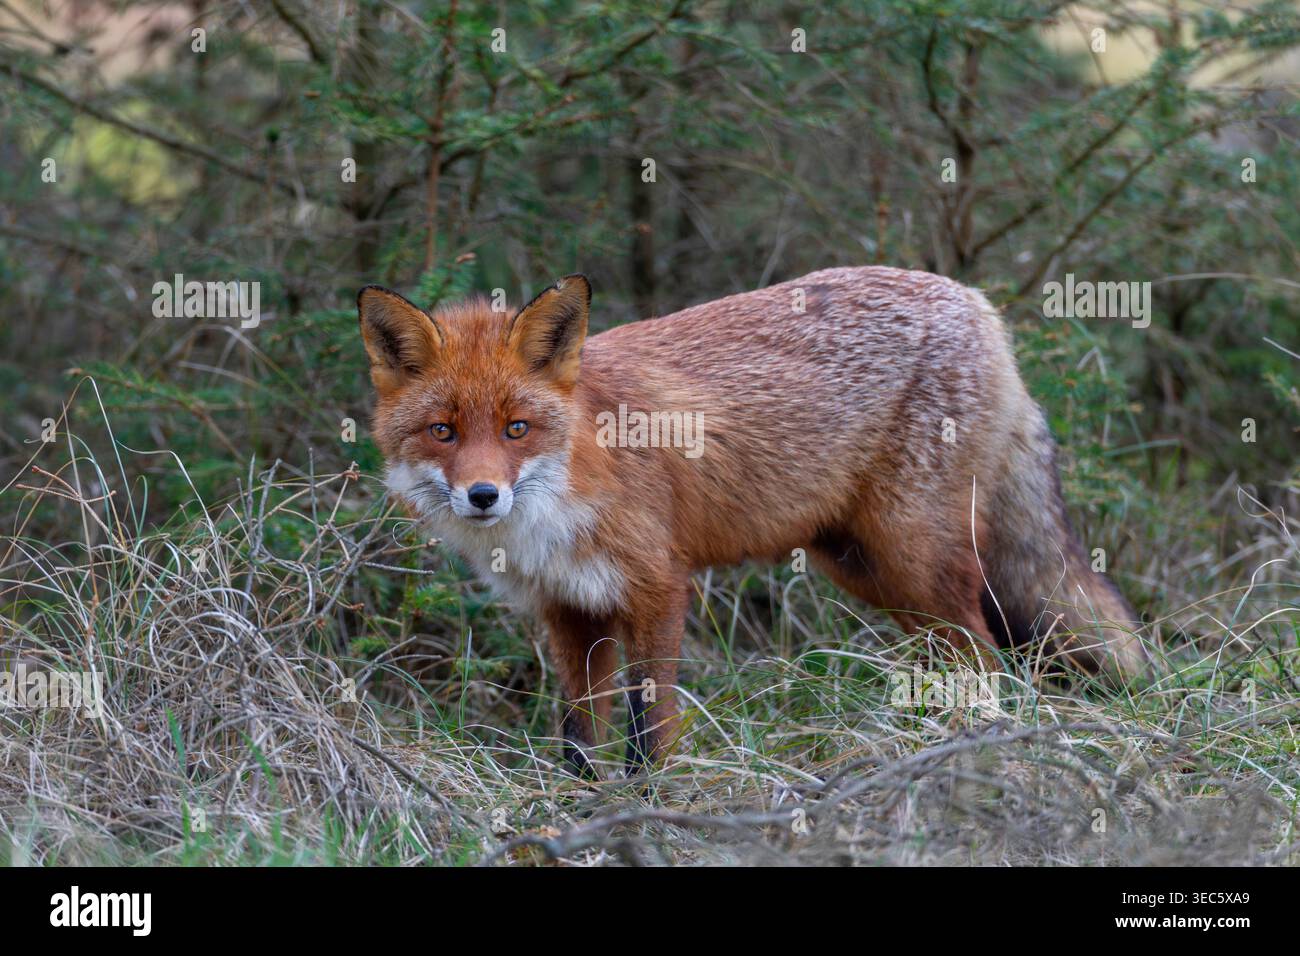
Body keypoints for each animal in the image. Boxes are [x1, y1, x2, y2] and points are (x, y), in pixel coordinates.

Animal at [358, 266, 1147, 776]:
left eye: (517, 428)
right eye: (443, 432)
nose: (483, 495)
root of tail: (977, 303)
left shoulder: (657, 588)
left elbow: (647, 726)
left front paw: (648, 804)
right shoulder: (569, 610)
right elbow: (580, 731)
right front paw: (580, 806)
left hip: (912, 556)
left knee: (985, 656)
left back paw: (967, 751)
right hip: (867, 569)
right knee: (956, 655)